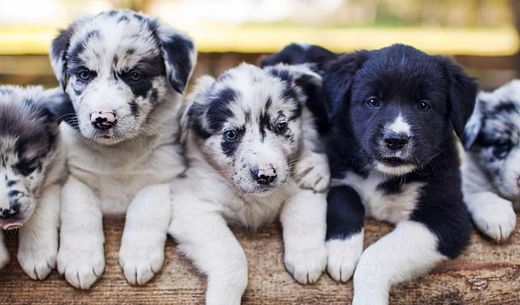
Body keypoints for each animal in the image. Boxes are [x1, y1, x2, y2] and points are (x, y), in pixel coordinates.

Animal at [49, 8, 196, 288]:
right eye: (84, 74)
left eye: (135, 75)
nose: (102, 118)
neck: (120, 153)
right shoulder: (75, 176)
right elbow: (79, 208)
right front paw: (80, 261)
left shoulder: (167, 174)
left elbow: (146, 204)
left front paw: (139, 257)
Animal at [168, 63, 330, 302]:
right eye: (231, 134)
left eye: (281, 126)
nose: (266, 175)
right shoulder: (193, 206)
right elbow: (230, 253)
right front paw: (223, 297)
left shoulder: (304, 182)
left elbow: (303, 212)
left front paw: (306, 259)